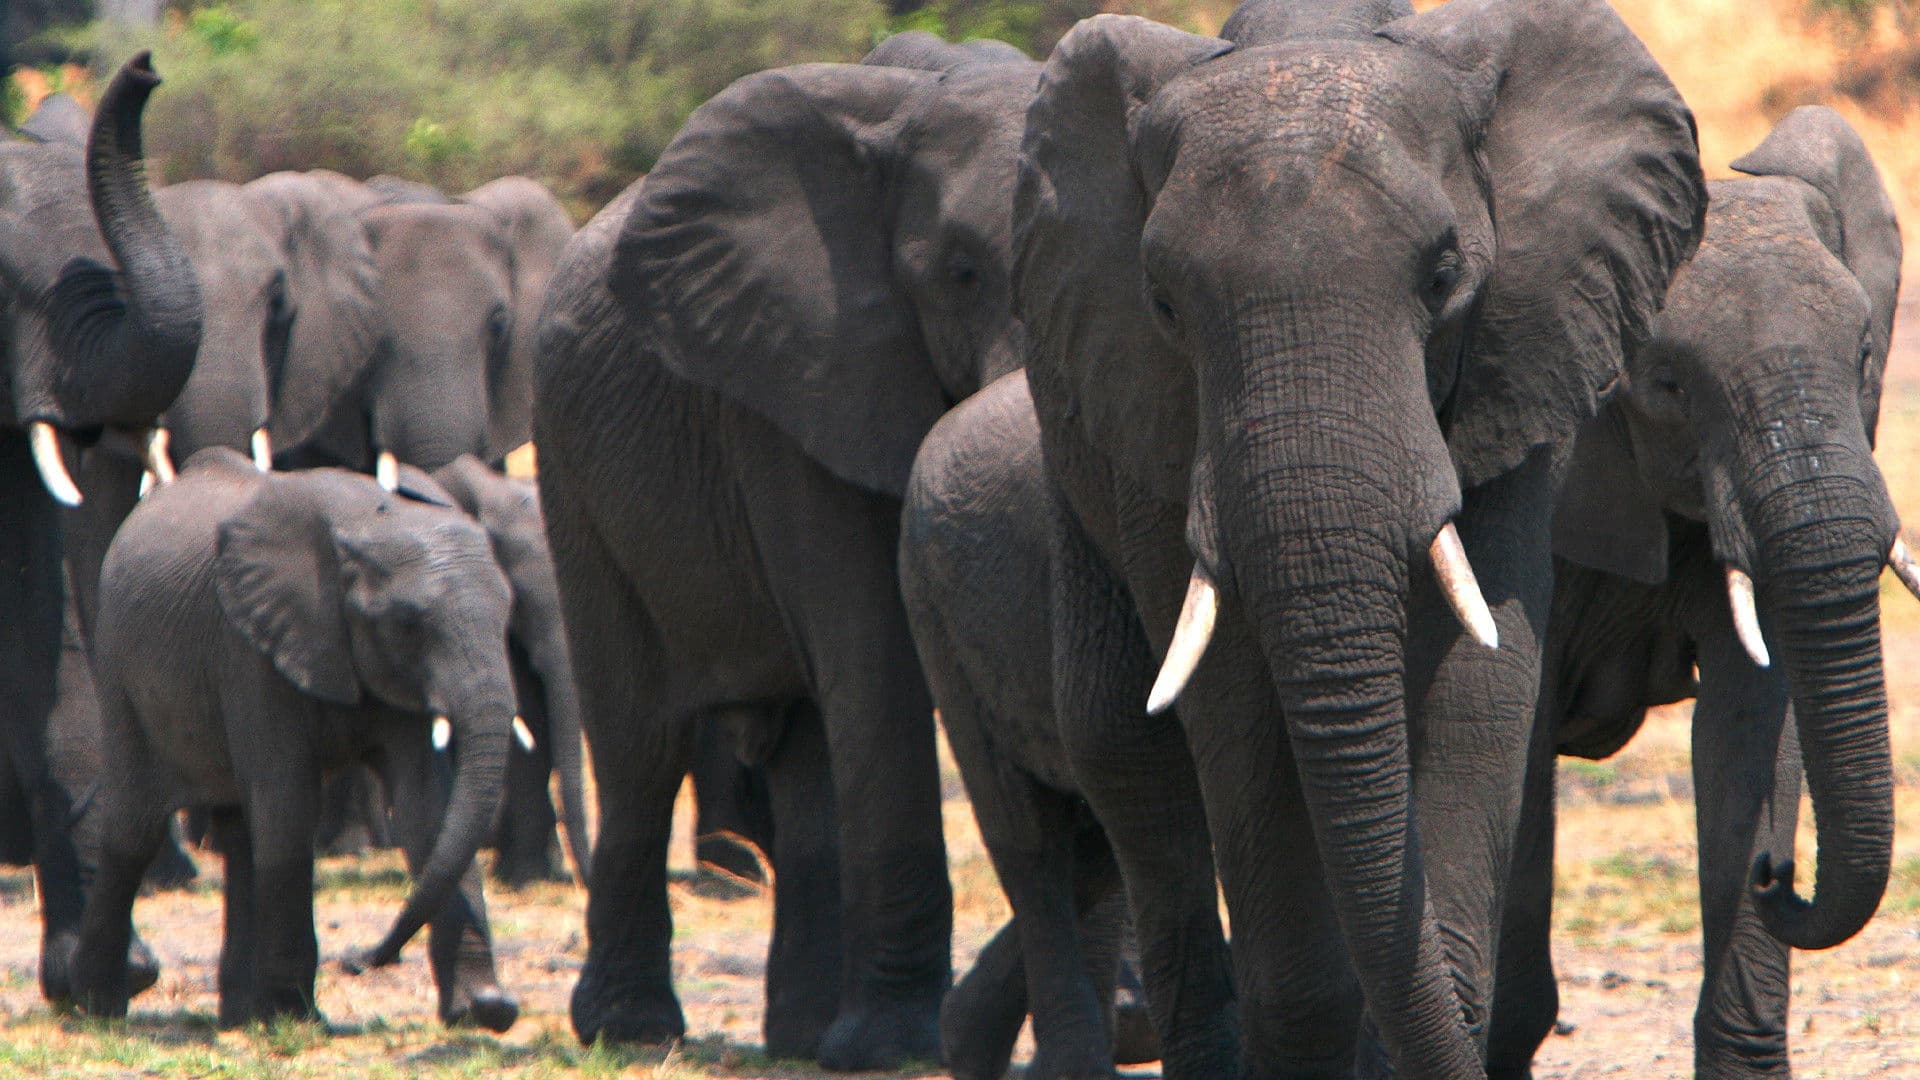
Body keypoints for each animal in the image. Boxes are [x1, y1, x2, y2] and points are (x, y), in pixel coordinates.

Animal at [71, 448, 521, 1031]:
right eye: (407, 624)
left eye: (509, 611)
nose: (359, 960)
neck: (368, 524)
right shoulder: (250, 648)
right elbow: (289, 806)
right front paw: (293, 1017)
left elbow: (427, 807)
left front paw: (486, 1011)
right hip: (119, 669)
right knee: (134, 829)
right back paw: (94, 1008)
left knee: (240, 834)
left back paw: (238, 1017)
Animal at [534, 34, 1040, 1067]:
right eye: (962, 273)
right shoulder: (794, 383)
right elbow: (878, 663)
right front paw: (896, 1048)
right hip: (571, 475)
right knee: (641, 742)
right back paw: (631, 1032)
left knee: (807, 750)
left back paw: (805, 1037)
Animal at [1010, 1, 1705, 1075]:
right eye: (1162, 302)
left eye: (1446, 273)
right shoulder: (1152, 408)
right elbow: (1235, 700)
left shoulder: (1526, 349)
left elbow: (1479, 675)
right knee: (1128, 752)